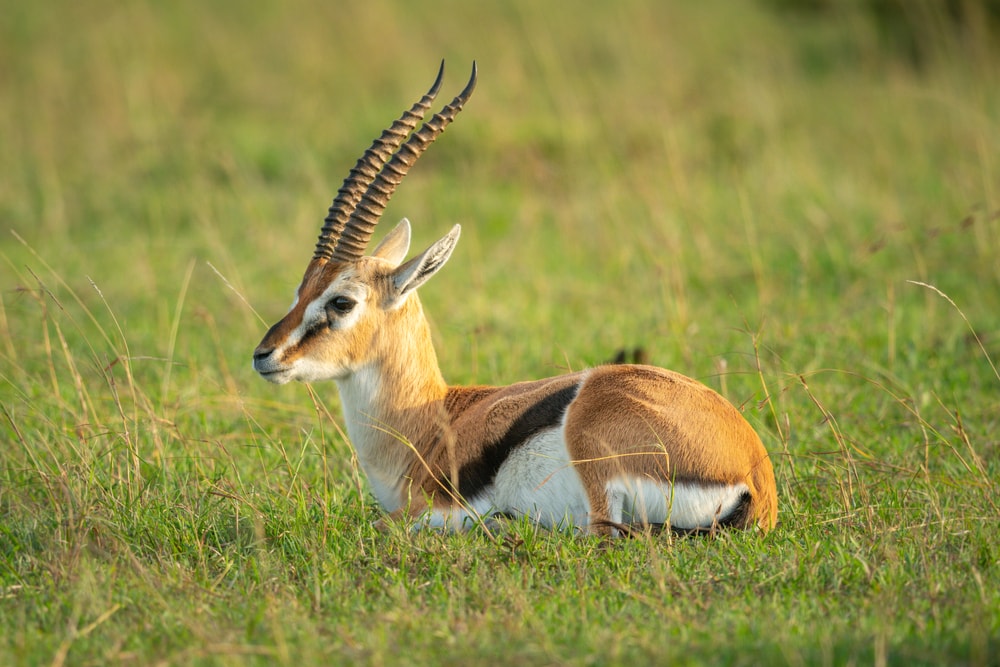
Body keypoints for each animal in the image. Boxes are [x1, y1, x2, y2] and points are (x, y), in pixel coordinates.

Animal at [252, 63, 778, 536]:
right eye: (301, 290)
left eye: (342, 301)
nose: (264, 355)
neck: (428, 420)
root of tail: (755, 476)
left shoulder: (424, 509)